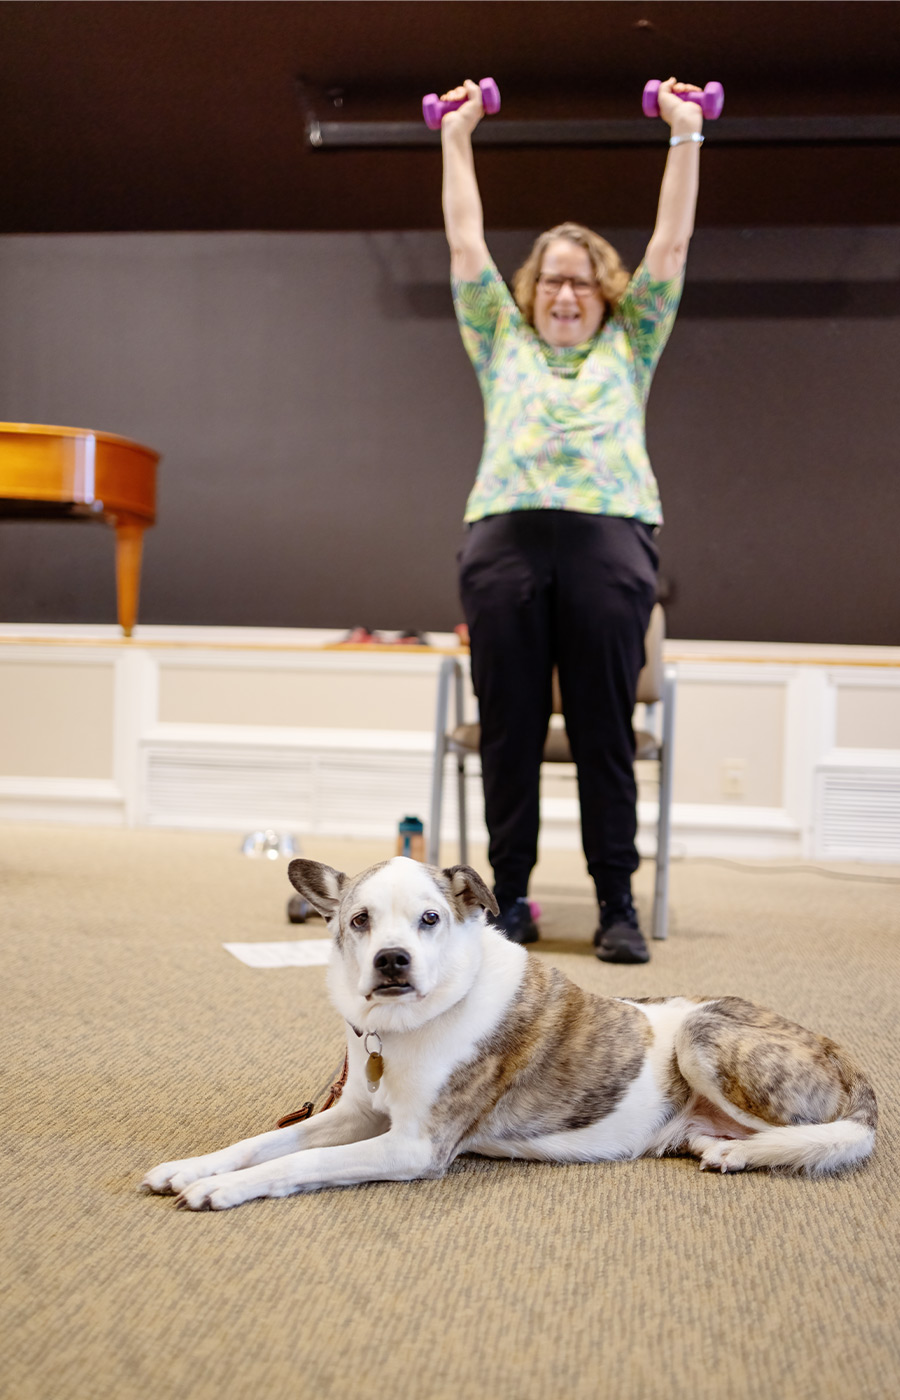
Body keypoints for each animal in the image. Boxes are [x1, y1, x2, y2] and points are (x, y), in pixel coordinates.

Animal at [144, 845, 879, 1209]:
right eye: (359, 920)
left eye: (431, 919)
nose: (391, 960)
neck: (406, 1023)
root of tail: (843, 1056)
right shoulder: (356, 1113)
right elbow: (265, 1143)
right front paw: (191, 1167)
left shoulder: (415, 1146)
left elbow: (301, 1162)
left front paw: (219, 1189)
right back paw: (726, 1149)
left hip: (702, 1034)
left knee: (840, 1134)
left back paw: (752, 1151)